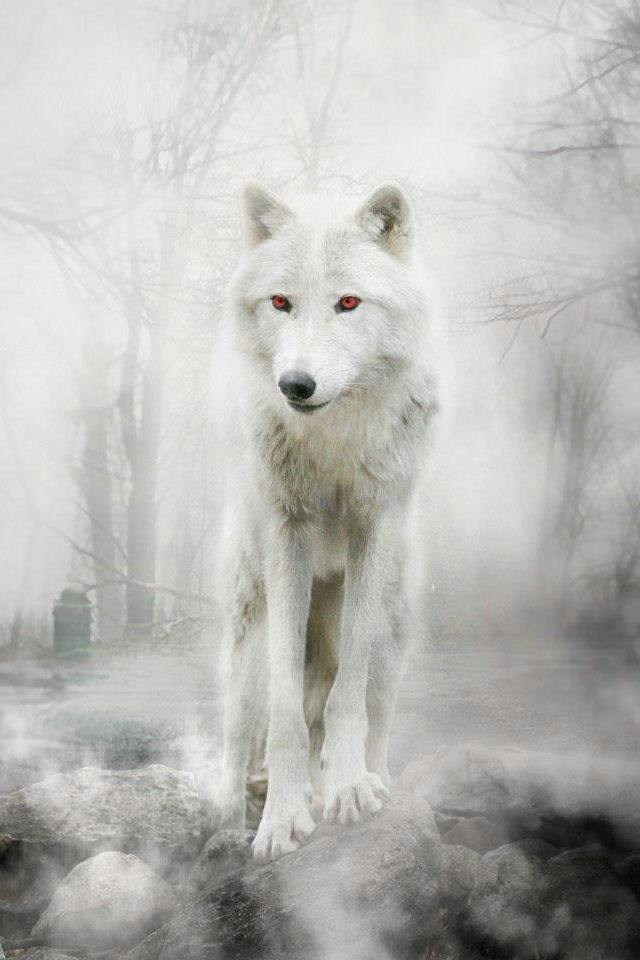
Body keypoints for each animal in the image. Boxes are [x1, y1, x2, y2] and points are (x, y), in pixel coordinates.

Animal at [212, 181, 442, 862]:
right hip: (249, 628)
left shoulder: (373, 529)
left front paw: (347, 792)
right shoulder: (287, 535)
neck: (334, 436)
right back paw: (228, 816)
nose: (296, 383)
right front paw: (283, 819)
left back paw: (372, 781)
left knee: (371, 713)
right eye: (280, 302)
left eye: (348, 303)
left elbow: (345, 700)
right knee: (240, 730)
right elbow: (287, 715)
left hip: (393, 629)